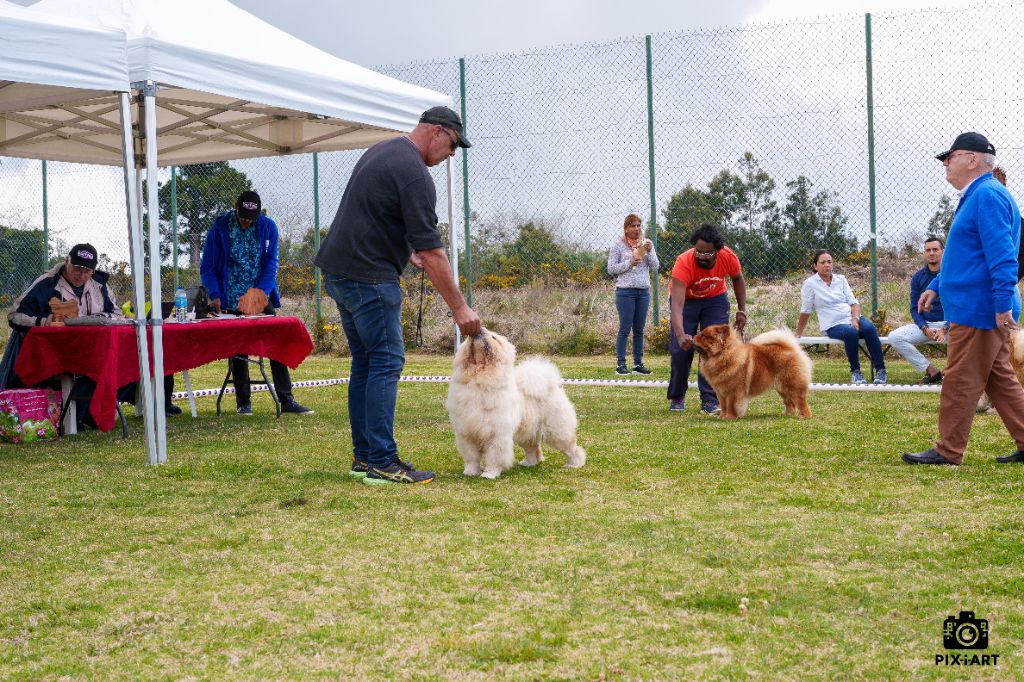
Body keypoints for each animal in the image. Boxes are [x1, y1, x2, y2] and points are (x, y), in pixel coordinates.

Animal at [446, 329, 585, 477]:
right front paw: (470, 472)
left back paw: (575, 464)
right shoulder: (466, 434)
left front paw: (489, 474)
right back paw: (529, 463)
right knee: (533, 448)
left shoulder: (497, 434)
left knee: (572, 447)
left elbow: (494, 456)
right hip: (527, 431)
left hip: (557, 431)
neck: (478, 379)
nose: (480, 330)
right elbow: (471, 457)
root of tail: (551, 385)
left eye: (493, 337)